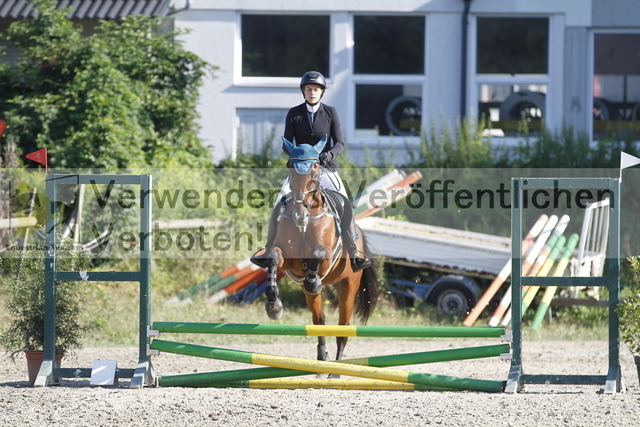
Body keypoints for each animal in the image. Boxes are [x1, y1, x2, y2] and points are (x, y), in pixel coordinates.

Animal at [260, 136, 379, 363]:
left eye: (315, 168)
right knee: (319, 320)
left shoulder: (326, 258)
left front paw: (313, 280)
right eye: (291, 168)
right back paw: (322, 356)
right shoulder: (288, 260)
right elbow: (273, 258)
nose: (300, 216)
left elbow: (317, 253)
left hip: (349, 284)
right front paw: (274, 306)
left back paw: (337, 367)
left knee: (343, 329)